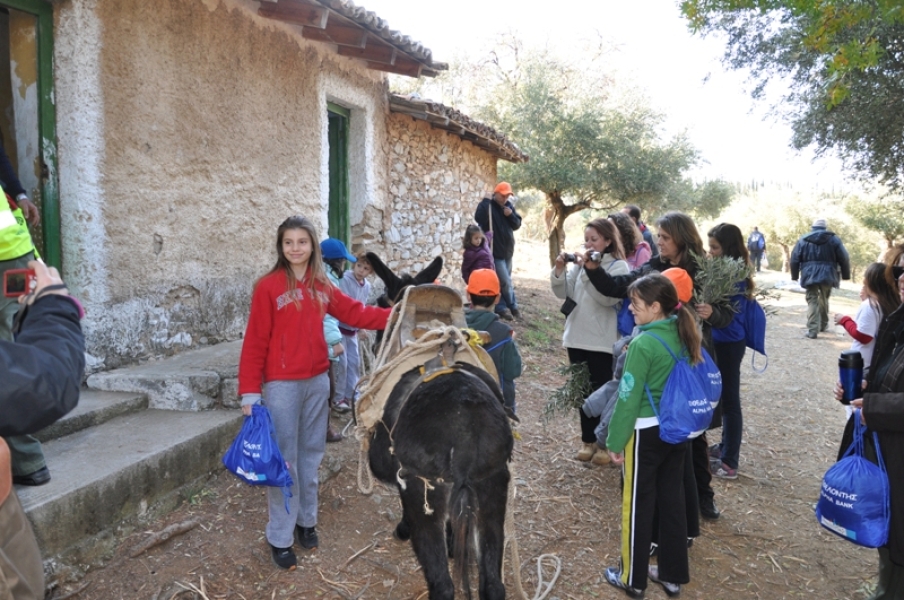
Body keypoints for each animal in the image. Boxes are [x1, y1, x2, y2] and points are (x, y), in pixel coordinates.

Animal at [363, 253, 514, 600]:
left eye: (381, 305)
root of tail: (465, 433)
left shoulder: (403, 477)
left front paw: (405, 530)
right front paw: (452, 543)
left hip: (426, 492)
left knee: (443, 585)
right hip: (492, 487)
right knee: (493, 584)